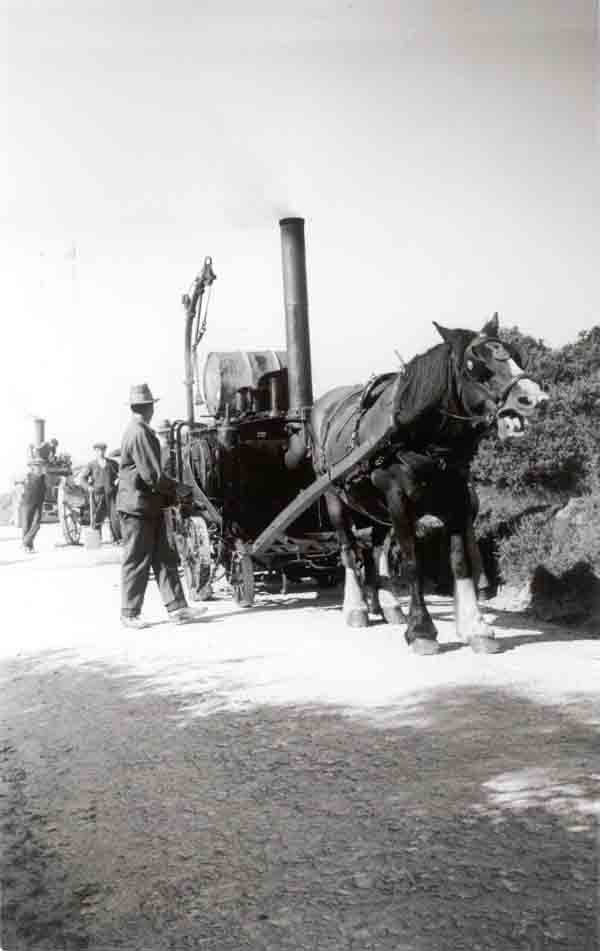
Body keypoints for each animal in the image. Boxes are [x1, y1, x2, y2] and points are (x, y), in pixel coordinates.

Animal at [304, 316, 544, 660]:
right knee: (349, 549)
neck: (417, 435)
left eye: (516, 355)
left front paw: (476, 627)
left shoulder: (457, 500)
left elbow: (459, 562)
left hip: (377, 508)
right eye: (473, 364)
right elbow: (411, 563)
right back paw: (356, 608)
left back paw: (388, 605)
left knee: (375, 550)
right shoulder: (399, 500)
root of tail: (321, 407)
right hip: (335, 498)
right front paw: (421, 630)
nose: (534, 398)